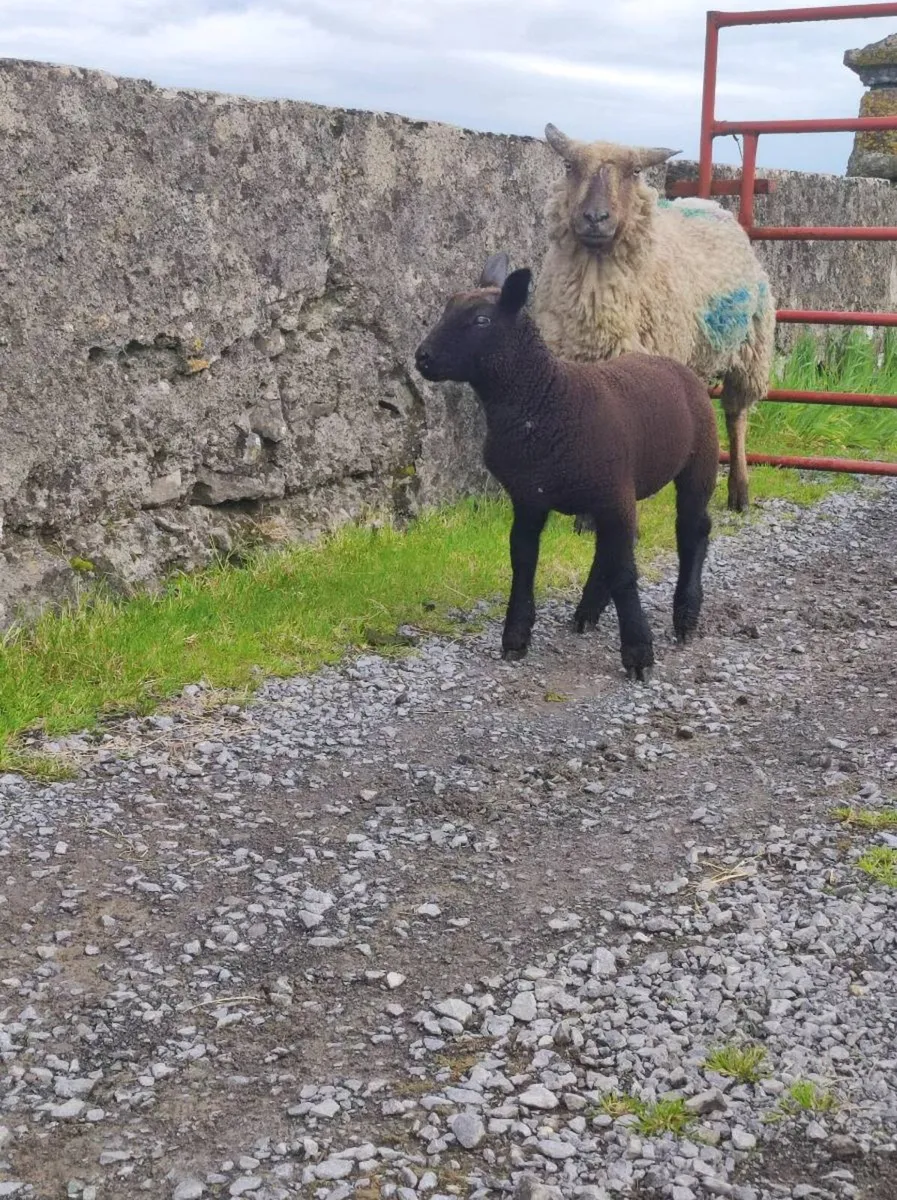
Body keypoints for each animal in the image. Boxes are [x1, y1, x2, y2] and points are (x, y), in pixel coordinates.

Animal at [414, 252, 719, 682]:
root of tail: (673, 363)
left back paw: (686, 615)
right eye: (447, 308)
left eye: (481, 320)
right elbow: (523, 561)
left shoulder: (611, 494)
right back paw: (588, 610)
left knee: (692, 531)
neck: (545, 399)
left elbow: (626, 573)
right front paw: (515, 637)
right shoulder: (530, 498)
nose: (422, 357)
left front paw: (638, 653)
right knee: (614, 547)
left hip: (696, 461)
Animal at [532, 123, 776, 515]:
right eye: (569, 166)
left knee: (736, 415)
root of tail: (711, 205)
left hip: (751, 348)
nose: (595, 218)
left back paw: (739, 491)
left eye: (634, 172)